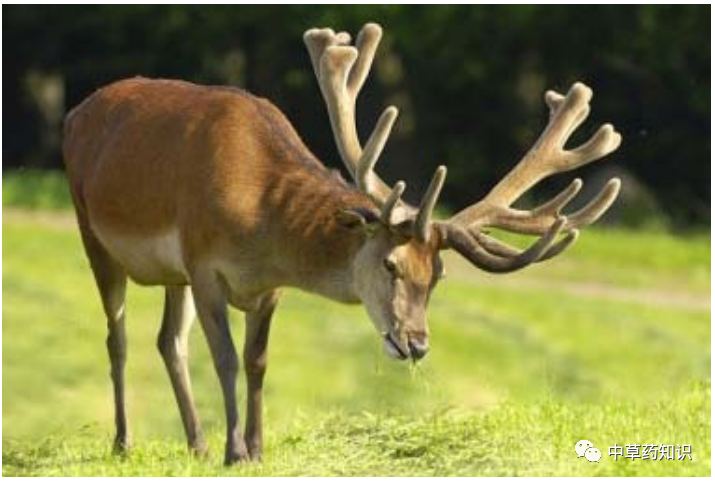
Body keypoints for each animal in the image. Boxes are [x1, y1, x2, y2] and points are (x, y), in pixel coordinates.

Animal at [61, 21, 620, 466]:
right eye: (391, 265)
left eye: (437, 275)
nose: (416, 344)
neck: (259, 222)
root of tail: (75, 112)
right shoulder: (204, 264)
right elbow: (224, 357)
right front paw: (234, 450)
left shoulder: (266, 286)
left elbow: (257, 361)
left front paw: (256, 449)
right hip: (93, 231)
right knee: (119, 337)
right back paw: (124, 442)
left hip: (170, 274)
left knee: (167, 340)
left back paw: (195, 443)